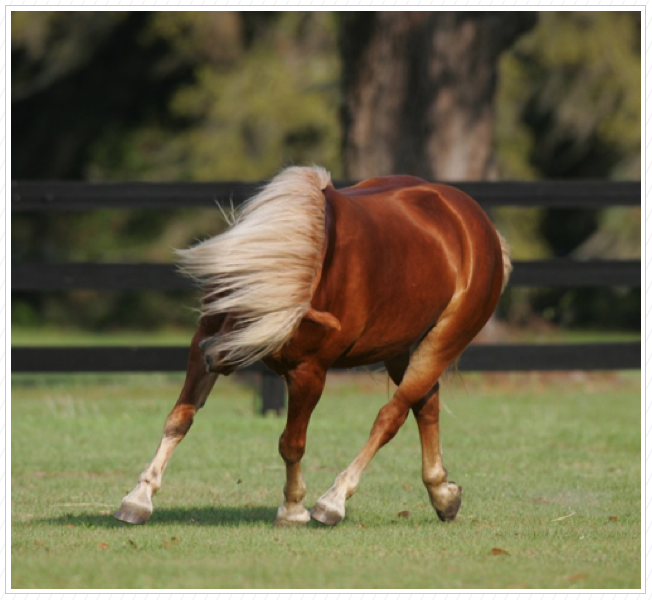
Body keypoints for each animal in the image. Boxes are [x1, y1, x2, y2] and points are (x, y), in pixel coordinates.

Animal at [114, 164, 512, 524]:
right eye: (227, 297)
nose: (218, 359)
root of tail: (475, 221)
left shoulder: (309, 372)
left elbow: (292, 442)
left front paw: (293, 509)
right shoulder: (202, 341)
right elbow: (179, 418)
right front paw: (138, 498)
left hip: (441, 343)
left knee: (391, 416)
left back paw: (334, 501)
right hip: (400, 349)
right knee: (425, 406)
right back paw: (442, 493)